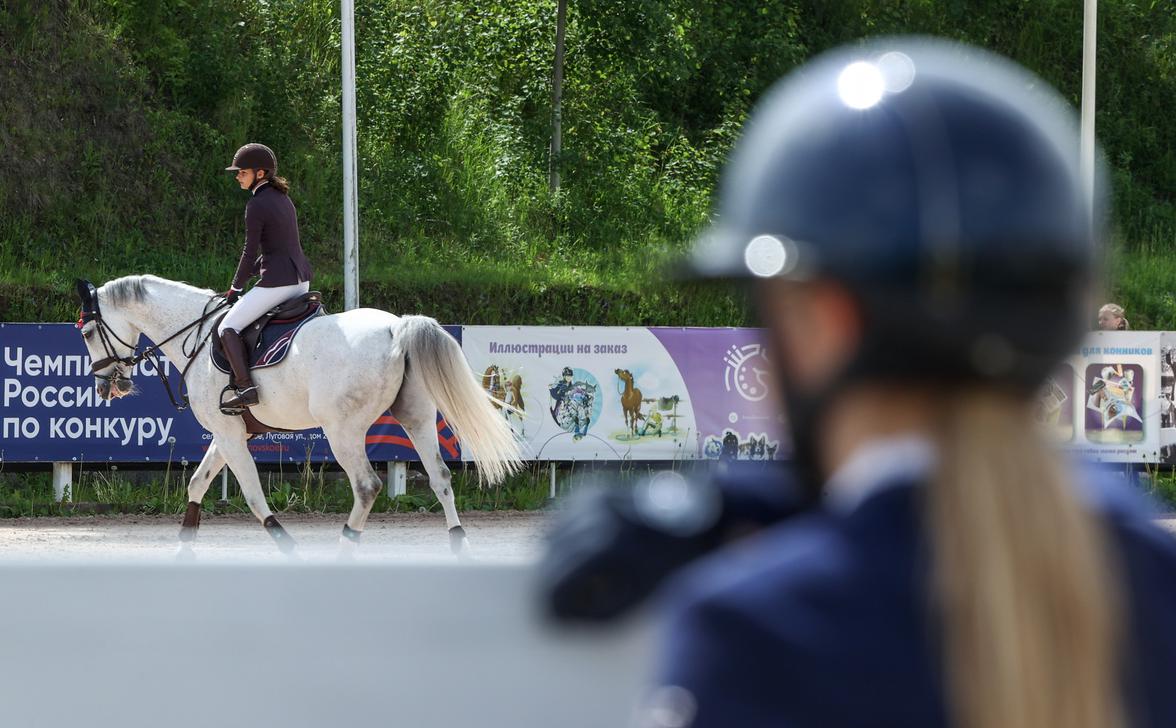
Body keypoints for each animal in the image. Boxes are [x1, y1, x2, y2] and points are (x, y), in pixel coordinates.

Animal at [73, 276, 515, 555]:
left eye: (87, 333)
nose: (108, 387)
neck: (193, 333)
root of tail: (396, 328)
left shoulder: (229, 435)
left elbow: (253, 496)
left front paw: (288, 546)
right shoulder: (229, 433)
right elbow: (197, 483)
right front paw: (183, 549)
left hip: (343, 430)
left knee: (367, 486)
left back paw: (345, 547)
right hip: (417, 418)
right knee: (440, 478)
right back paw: (459, 545)